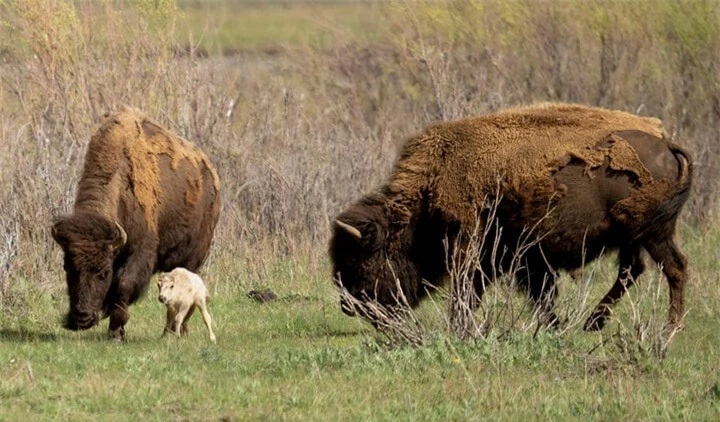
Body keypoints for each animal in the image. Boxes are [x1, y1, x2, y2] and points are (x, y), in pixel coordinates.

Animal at [51, 107, 221, 342]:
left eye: (104, 272)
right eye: (68, 267)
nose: (81, 319)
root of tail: (210, 172)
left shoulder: (140, 251)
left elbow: (124, 284)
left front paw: (116, 332)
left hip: (192, 257)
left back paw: (178, 331)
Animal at [332, 102, 692, 330]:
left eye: (361, 259)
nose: (348, 305)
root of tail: (666, 144)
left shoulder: (475, 247)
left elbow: (467, 289)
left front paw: (458, 327)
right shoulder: (521, 259)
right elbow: (536, 295)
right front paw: (554, 326)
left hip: (652, 234)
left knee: (673, 267)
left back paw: (669, 328)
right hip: (635, 235)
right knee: (633, 269)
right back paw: (593, 323)